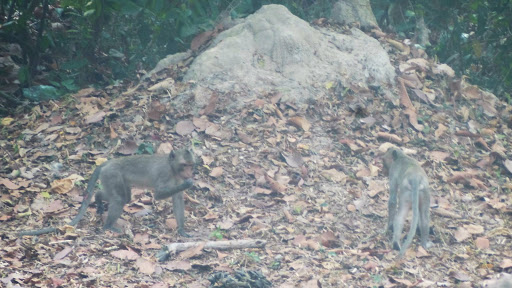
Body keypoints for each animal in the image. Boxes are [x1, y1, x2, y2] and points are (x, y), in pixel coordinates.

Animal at [18, 148, 196, 236]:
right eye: (185, 165)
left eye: (191, 165)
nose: (190, 173)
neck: (172, 169)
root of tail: (108, 163)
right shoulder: (164, 174)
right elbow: (158, 195)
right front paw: (189, 183)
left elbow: (177, 200)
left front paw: (181, 229)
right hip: (112, 174)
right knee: (120, 199)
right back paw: (108, 225)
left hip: (114, 177)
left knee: (123, 197)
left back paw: (98, 198)